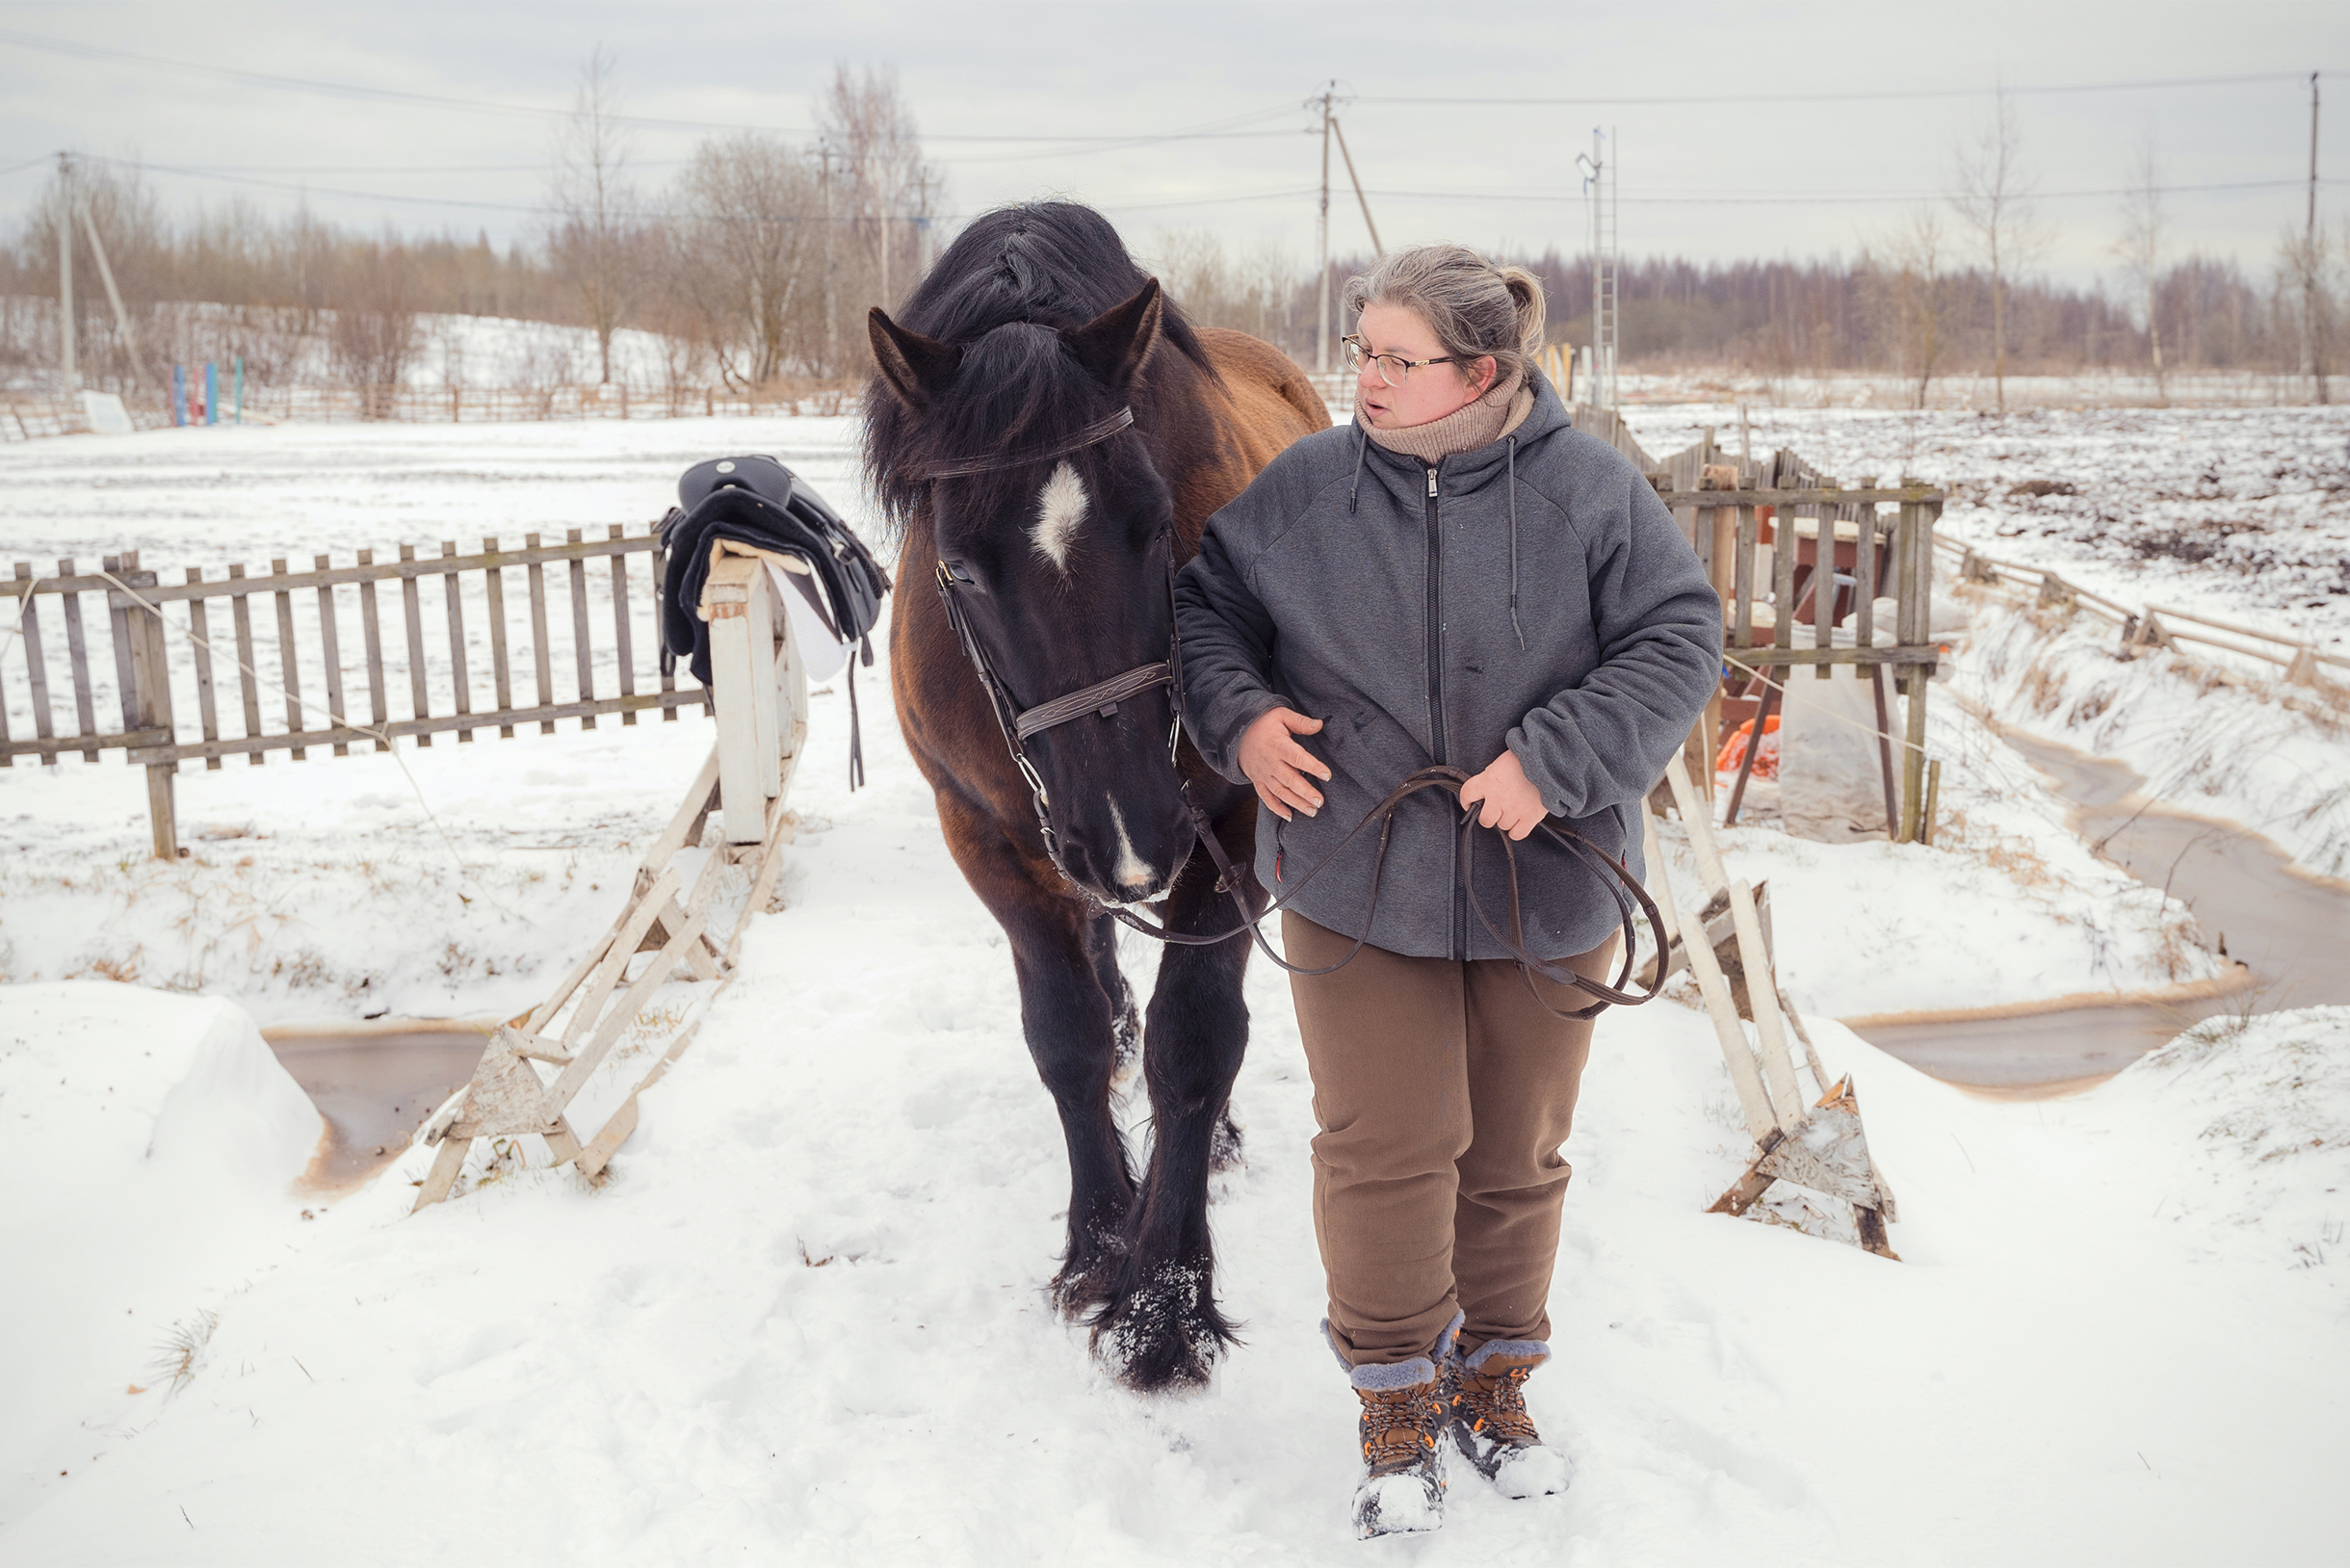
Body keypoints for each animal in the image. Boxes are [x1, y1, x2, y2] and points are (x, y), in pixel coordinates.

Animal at [864, 201, 1334, 1391]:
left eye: (1155, 519)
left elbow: (1197, 1040)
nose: (1131, 835)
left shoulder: (1236, 822)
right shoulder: (986, 835)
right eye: (960, 565)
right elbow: (1066, 1036)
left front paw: (1164, 1297)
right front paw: (1098, 1240)